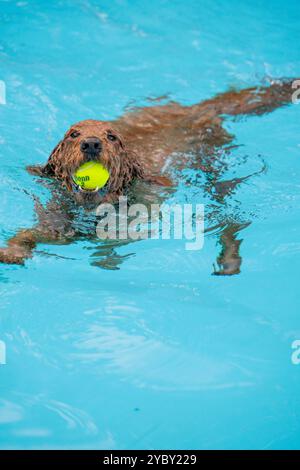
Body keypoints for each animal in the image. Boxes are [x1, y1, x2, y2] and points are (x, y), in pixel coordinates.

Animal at [0, 79, 296, 274]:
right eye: (74, 134)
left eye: (112, 137)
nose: (92, 143)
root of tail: (195, 109)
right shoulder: (54, 223)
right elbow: (29, 233)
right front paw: (12, 251)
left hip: (214, 164)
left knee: (230, 217)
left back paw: (229, 259)